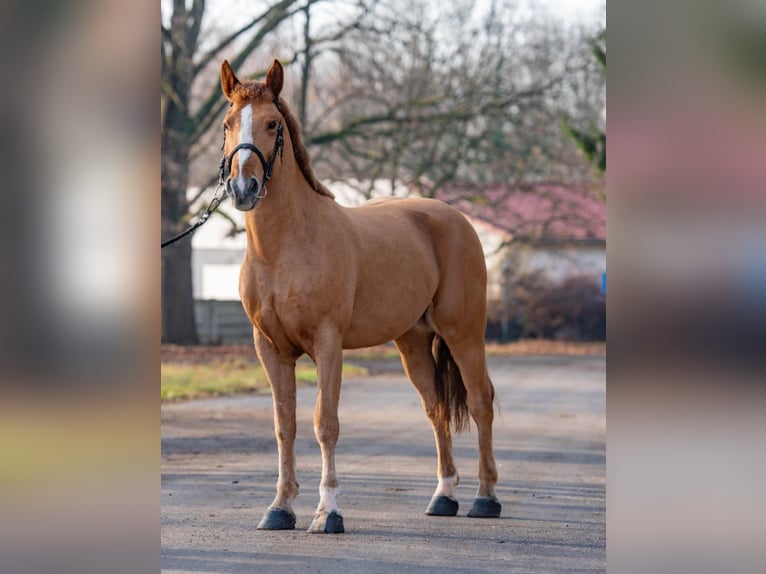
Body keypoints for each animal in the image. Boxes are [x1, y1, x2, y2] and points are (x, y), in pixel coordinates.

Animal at [219, 58, 501, 533]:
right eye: (227, 124)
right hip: (412, 342)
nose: (243, 189)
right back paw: (443, 496)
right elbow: (284, 425)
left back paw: (485, 498)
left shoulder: (328, 343)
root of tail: (455, 218)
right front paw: (280, 507)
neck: (284, 249)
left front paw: (327, 512)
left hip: (463, 333)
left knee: (481, 401)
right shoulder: (270, 348)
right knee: (436, 408)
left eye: (273, 123)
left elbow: (325, 423)